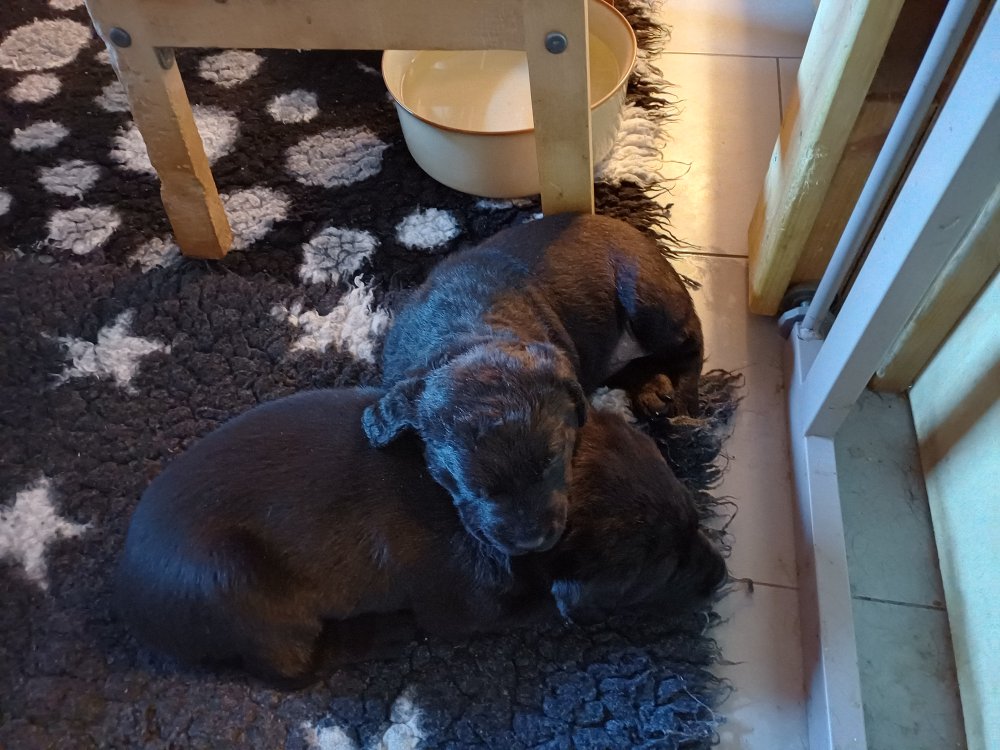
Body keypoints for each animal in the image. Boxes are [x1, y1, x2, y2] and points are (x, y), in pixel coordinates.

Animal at [115, 388, 726, 684]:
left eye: (695, 519)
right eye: (659, 572)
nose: (722, 576)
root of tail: (129, 605)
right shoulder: (466, 610)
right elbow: (547, 608)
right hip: (239, 587)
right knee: (289, 671)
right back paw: (381, 634)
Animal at [362, 213, 703, 555]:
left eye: (553, 459)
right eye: (473, 486)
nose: (532, 542)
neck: (469, 334)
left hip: (647, 299)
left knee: (691, 342)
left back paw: (684, 404)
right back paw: (652, 390)